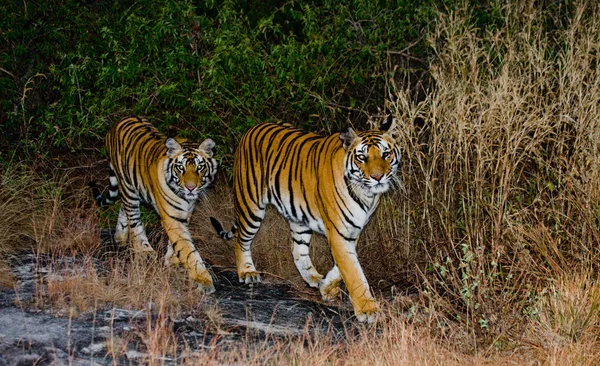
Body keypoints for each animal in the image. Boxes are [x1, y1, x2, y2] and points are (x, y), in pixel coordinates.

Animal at [91, 116, 218, 294]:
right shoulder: (172, 217)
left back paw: (120, 237)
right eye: (181, 167)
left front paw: (172, 259)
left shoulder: (185, 214)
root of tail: (119, 122)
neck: (186, 198)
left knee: (124, 208)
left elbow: (178, 242)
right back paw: (143, 250)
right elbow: (188, 249)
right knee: (134, 219)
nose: (191, 187)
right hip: (128, 188)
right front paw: (204, 281)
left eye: (200, 167)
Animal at [209, 116, 400, 320]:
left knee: (297, 250)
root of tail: (252, 128)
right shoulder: (339, 232)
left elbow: (342, 267)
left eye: (386, 154)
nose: (378, 177)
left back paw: (314, 278)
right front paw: (368, 310)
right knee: (241, 239)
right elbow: (353, 271)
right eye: (362, 157)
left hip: (299, 217)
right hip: (251, 205)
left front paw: (327, 287)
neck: (366, 194)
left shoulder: (352, 231)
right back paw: (247, 272)